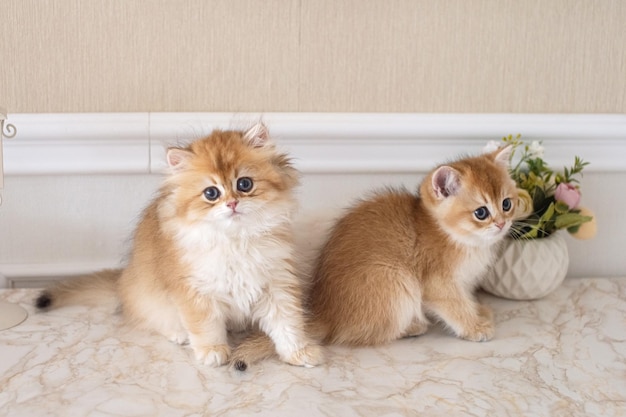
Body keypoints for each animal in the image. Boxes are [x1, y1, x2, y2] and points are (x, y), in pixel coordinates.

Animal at [35, 122, 322, 368]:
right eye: (211, 193)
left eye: (244, 184)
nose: (232, 204)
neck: (236, 240)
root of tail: (122, 281)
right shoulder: (194, 290)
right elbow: (206, 326)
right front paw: (212, 351)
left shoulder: (277, 283)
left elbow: (288, 325)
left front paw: (300, 353)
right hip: (150, 296)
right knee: (152, 317)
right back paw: (179, 333)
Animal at [232, 145, 516, 368]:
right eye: (481, 212)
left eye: (507, 204)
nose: (502, 224)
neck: (458, 238)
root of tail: (326, 313)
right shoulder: (439, 284)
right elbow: (455, 307)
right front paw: (475, 327)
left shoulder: (462, 281)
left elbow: (465, 299)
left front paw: (479, 311)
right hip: (395, 280)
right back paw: (413, 327)